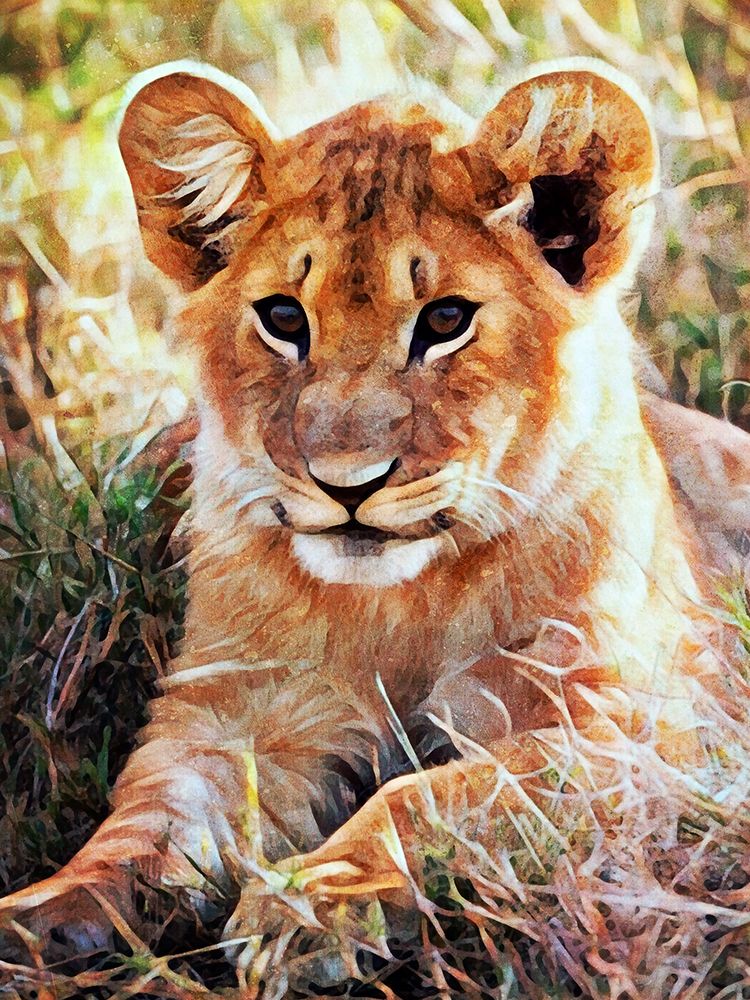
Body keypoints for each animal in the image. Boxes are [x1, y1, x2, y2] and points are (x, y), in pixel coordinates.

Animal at [0, 56, 728, 972]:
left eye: (446, 320)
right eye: (283, 318)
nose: (348, 486)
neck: (401, 605)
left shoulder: (640, 734)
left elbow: (432, 795)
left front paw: (310, 903)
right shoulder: (235, 711)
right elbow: (146, 820)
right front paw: (46, 910)